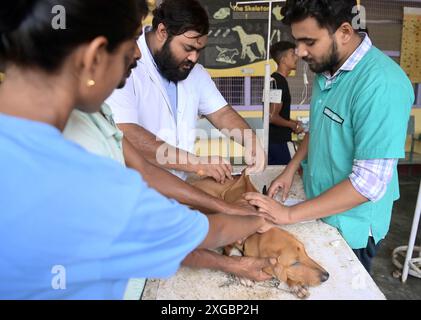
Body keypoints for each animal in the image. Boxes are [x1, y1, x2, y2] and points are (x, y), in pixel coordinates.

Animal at [189, 171, 328, 298]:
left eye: (305, 252)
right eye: (295, 263)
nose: (327, 276)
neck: (256, 233)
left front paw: (295, 284)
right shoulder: (228, 245)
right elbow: (232, 257)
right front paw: (244, 275)